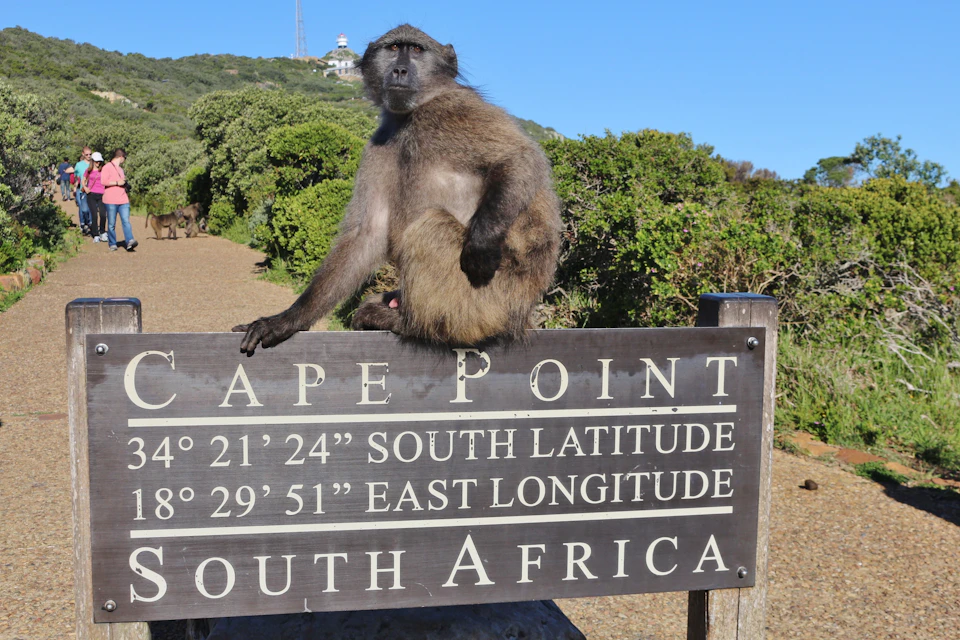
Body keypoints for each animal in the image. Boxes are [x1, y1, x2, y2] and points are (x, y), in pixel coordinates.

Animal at [234, 24, 561, 354]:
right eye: (393, 48)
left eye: (416, 50)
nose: (400, 70)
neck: (413, 114)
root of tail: (521, 313)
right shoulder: (379, 143)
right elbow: (367, 233)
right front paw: (286, 320)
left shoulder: (457, 112)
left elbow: (520, 158)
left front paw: (481, 245)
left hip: (489, 301)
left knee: (431, 227)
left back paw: (408, 323)